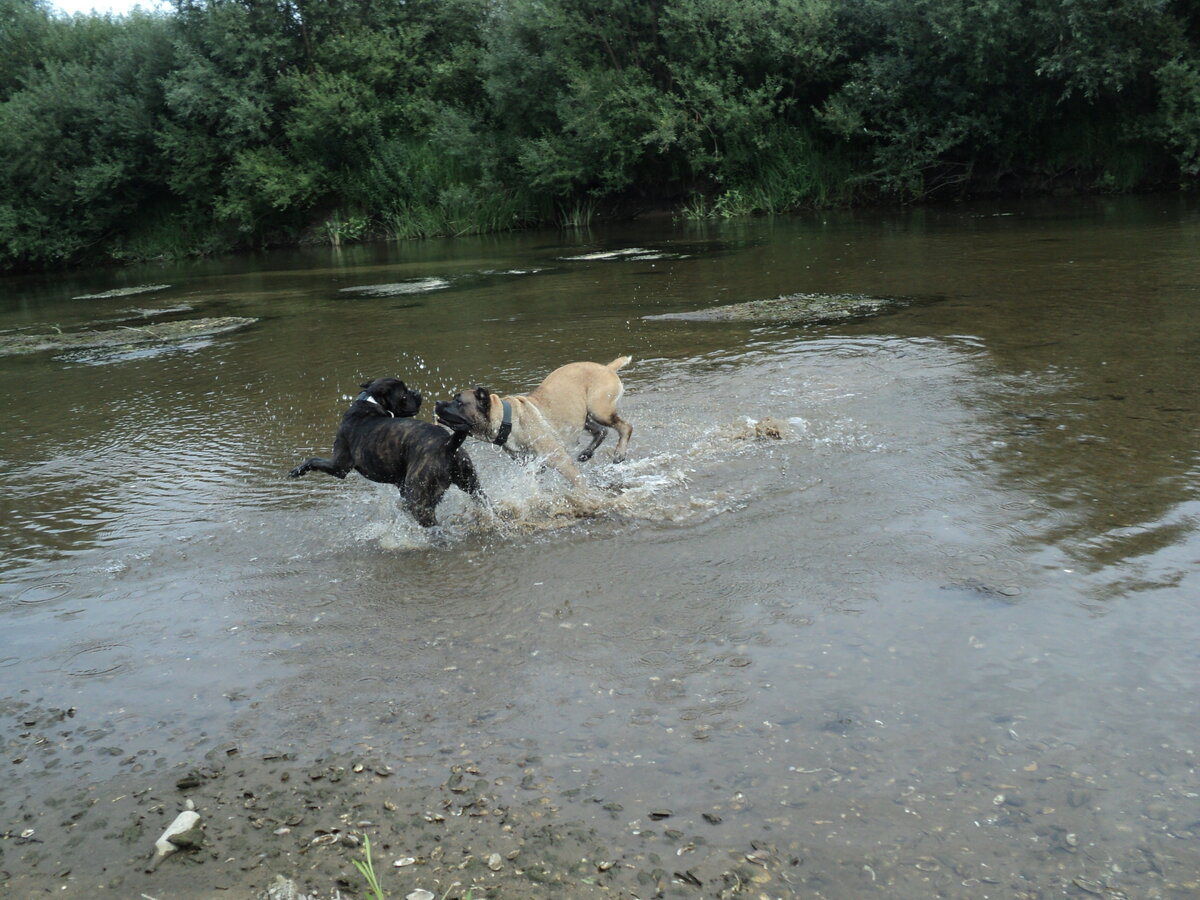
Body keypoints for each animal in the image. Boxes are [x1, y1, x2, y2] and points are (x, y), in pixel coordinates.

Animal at [289, 374, 482, 528]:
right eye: (404, 394)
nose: (417, 393)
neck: (371, 401)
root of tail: (447, 444)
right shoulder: (400, 483)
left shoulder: (339, 466)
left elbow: (314, 460)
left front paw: (297, 471)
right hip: (471, 483)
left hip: (419, 502)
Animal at [434, 357, 638, 489]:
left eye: (459, 402)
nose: (437, 403)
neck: (507, 419)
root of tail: (607, 368)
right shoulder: (531, 465)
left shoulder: (560, 460)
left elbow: (578, 482)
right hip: (583, 417)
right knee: (601, 431)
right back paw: (587, 453)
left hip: (599, 410)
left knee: (625, 427)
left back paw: (619, 454)